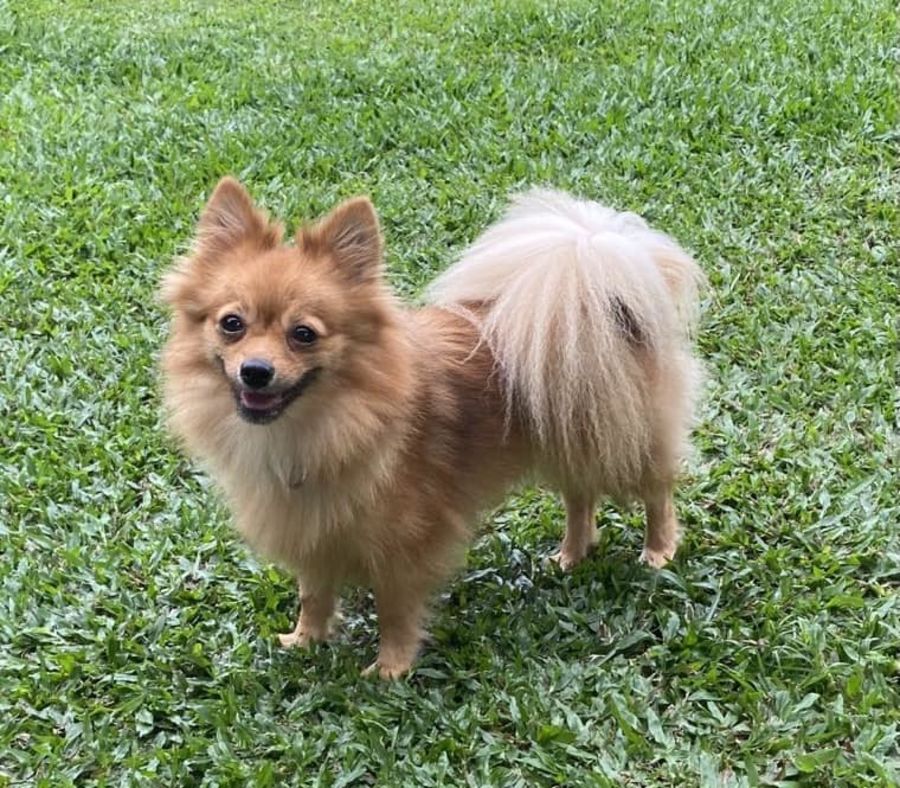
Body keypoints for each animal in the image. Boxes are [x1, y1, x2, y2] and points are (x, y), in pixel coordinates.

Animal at [160, 177, 703, 678]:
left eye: (304, 335)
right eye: (232, 324)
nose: (255, 370)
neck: (324, 422)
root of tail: (598, 287)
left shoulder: (404, 544)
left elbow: (395, 610)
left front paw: (391, 669)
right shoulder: (313, 528)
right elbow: (313, 593)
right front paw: (307, 639)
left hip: (626, 438)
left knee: (656, 492)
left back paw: (657, 550)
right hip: (570, 431)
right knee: (579, 496)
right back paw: (572, 553)